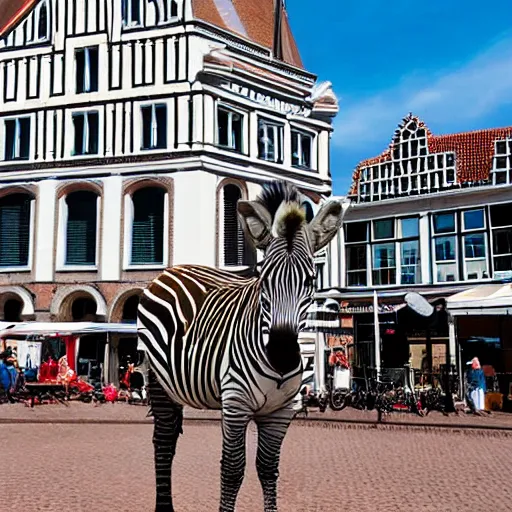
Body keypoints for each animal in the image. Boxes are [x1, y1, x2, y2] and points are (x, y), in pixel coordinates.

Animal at [137, 181, 344, 512]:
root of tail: (174, 269)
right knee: (164, 442)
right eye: (263, 278)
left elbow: (268, 468)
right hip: (158, 380)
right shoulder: (235, 402)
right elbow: (233, 470)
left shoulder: (282, 411)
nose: (282, 355)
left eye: (311, 280)